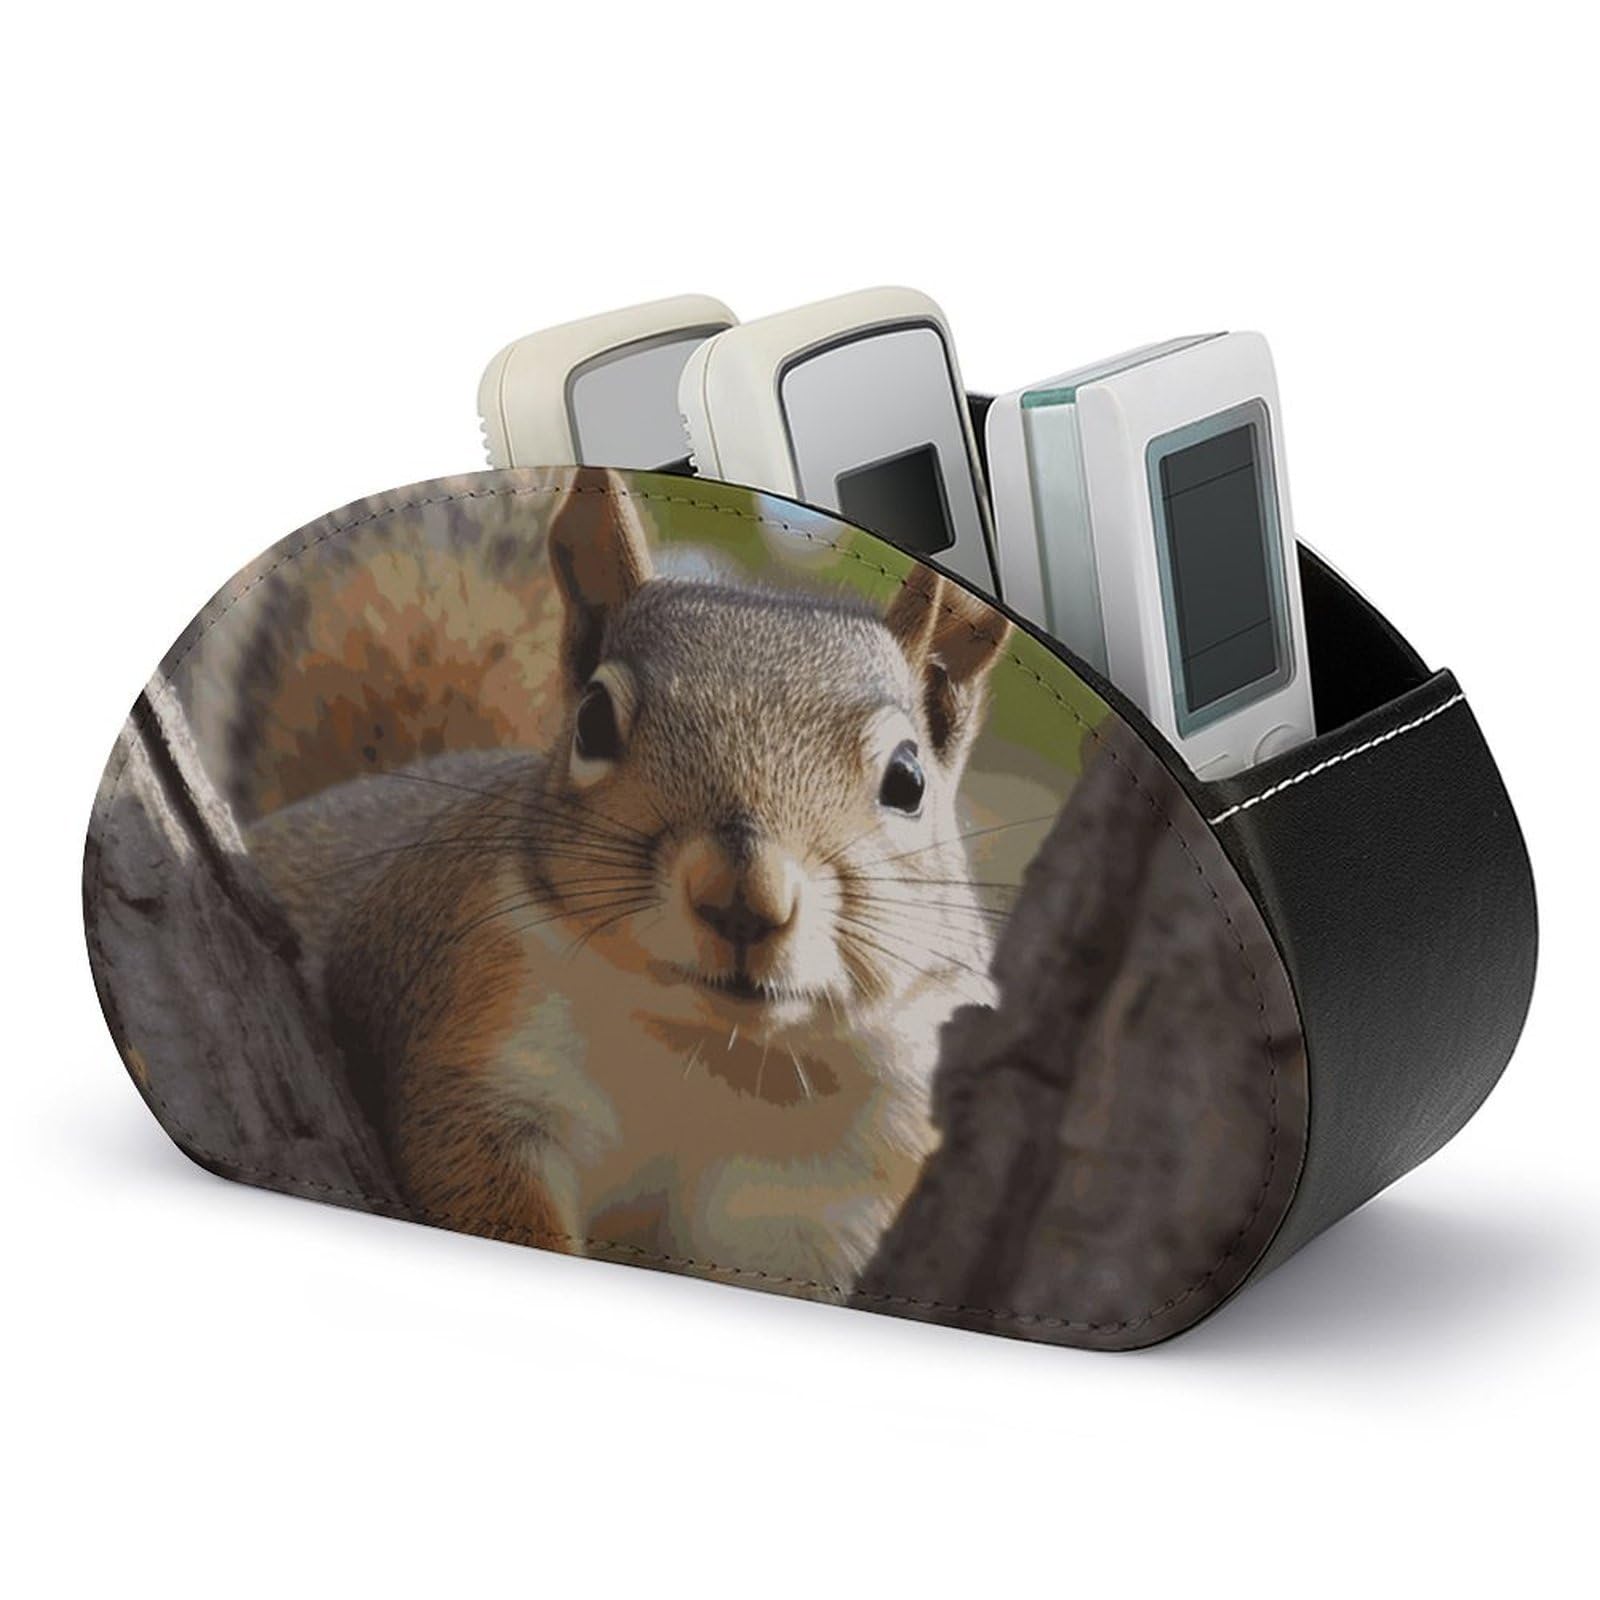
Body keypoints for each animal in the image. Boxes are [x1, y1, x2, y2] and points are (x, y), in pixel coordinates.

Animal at [242, 470, 1011, 1296]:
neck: (711, 1051)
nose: (742, 898)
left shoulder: (826, 1201)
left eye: (907, 780)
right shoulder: (476, 1053)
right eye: (592, 721)